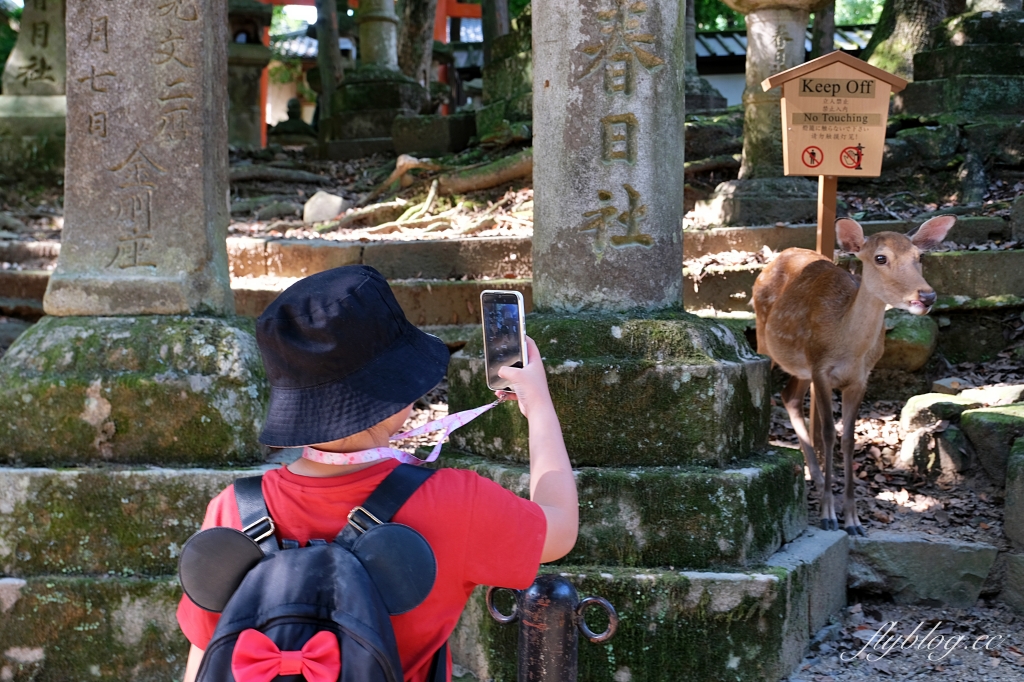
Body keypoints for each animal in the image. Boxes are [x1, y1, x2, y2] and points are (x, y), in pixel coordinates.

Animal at [753, 215, 950, 532]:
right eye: (880, 257)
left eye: (919, 256)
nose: (927, 296)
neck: (846, 346)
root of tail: (777, 257)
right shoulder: (821, 369)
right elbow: (828, 433)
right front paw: (828, 515)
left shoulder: (860, 378)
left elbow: (848, 438)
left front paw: (853, 519)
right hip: (766, 342)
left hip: (802, 367)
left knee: (789, 396)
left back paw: (817, 477)